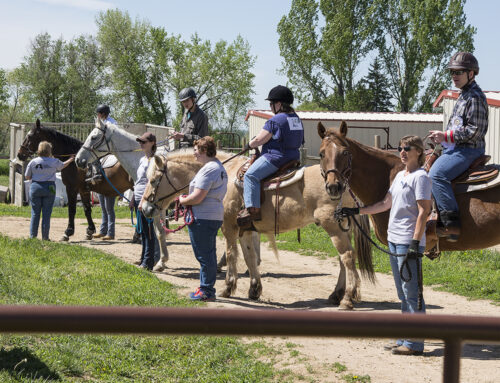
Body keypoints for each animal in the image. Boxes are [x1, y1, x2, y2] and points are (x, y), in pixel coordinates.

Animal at [73, 120, 170, 270]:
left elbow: (158, 232)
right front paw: (155, 260)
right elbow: (157, 232)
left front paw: (159, 261)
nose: (78, 160)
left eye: (94, 137)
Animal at [139, 148, 374, 310]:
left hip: (333, 226)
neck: (225, 174)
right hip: (341, 227)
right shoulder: (247, 229)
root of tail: (343, 181)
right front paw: (254, 289)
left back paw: (347, 298)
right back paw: (336, 294)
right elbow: (250, 257)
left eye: (154, 180)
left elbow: (232, 255)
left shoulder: (229, 227)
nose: (144, 207)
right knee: (343, 259)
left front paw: (228, 287)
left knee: (347, 257)